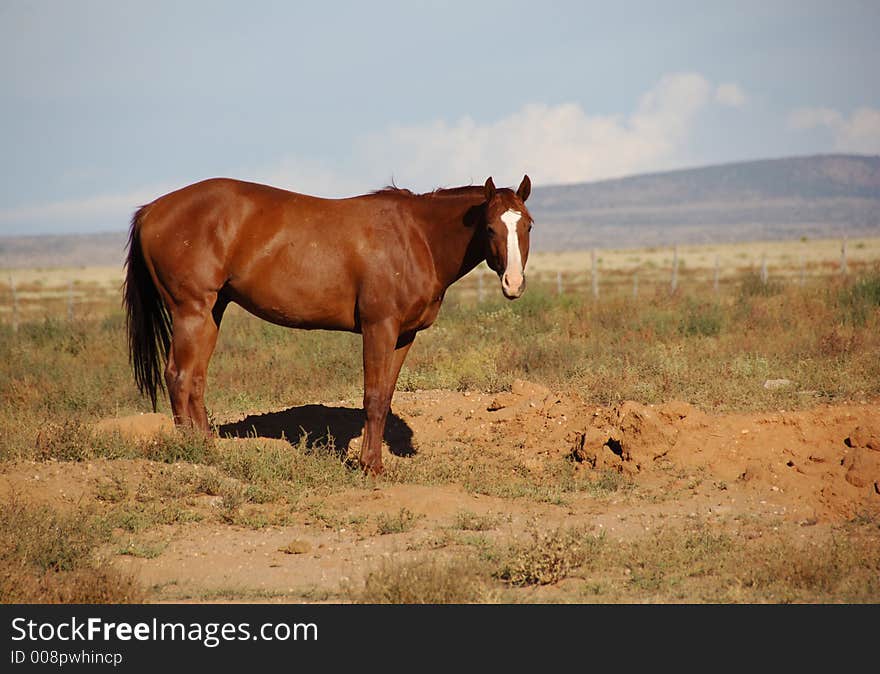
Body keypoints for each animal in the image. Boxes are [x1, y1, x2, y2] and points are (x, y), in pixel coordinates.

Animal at [122, 173, 536, 472]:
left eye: (528, 226)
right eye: (489, 227)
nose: (513, 283)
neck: (417, 238)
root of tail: (152, 209)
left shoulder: (404, 336)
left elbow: (386, 396)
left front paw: (374, 462)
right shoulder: (378, 328)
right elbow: (372, 398)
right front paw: (369, 466)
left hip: (212, 312)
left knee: (194, 378)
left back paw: (208, 446)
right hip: (190, 310)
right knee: (178, 376)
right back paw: (192, 453)